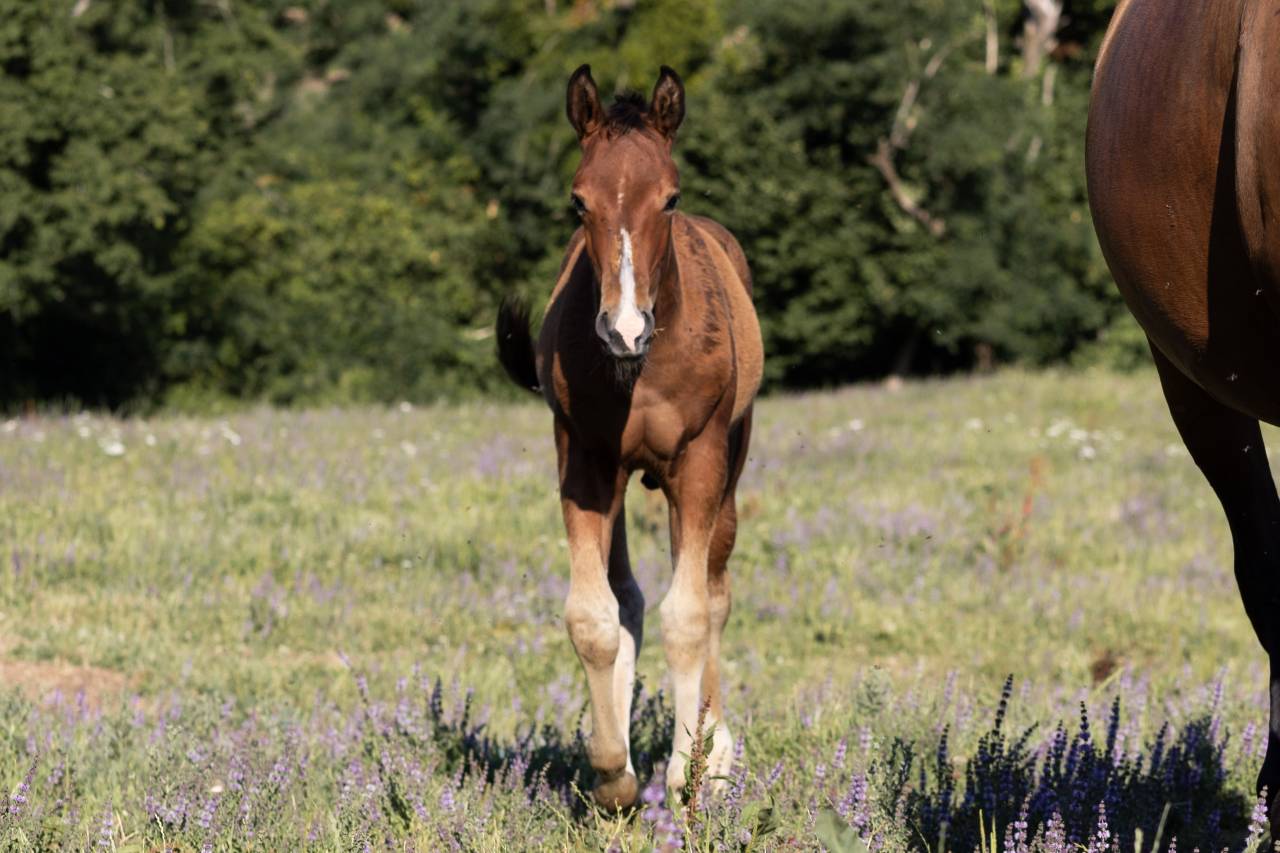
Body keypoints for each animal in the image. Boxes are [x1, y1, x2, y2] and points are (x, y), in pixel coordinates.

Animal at [496, 65, 763, 811]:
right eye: (577, 201)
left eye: (669, 197)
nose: (623, 329)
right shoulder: (583, 461)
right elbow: (597, 616)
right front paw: (613, 772)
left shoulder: (699, 461)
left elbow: (691, 614)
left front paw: (687, 773)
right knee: (631, 596)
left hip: (726, 468)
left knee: (714, 588)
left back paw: (714, 749)